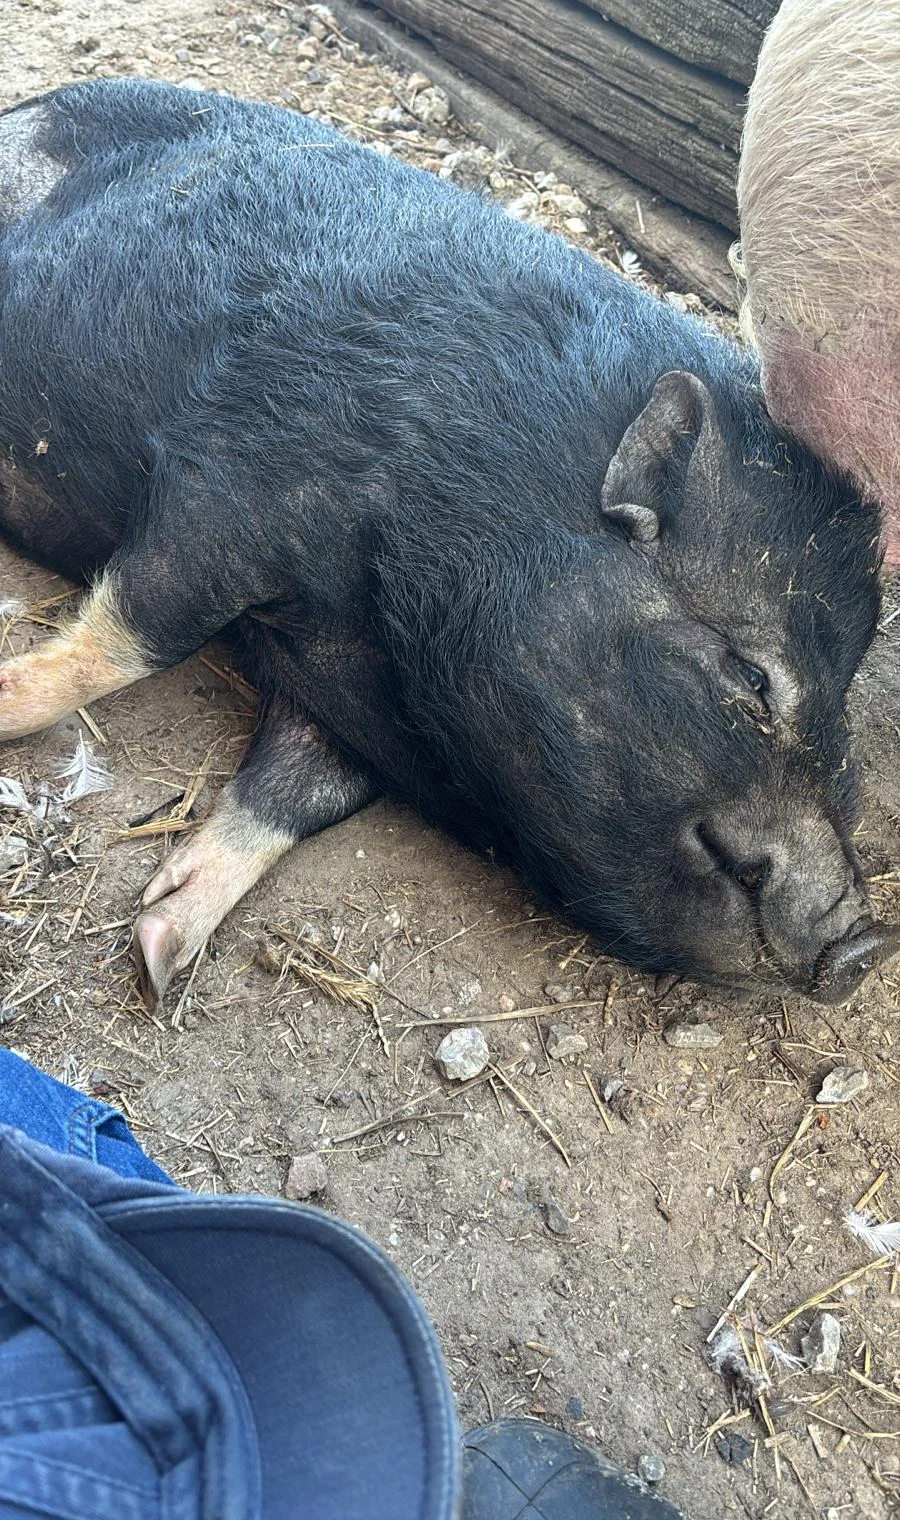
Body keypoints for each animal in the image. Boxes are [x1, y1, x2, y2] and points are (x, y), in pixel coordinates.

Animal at [0, 79, 896, 1013]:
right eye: (753, 676)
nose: (865, 946)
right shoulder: (232, 489)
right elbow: (136, 639)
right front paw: (4, 702)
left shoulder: (337, 706)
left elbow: (295, 797)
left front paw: (161, 951)